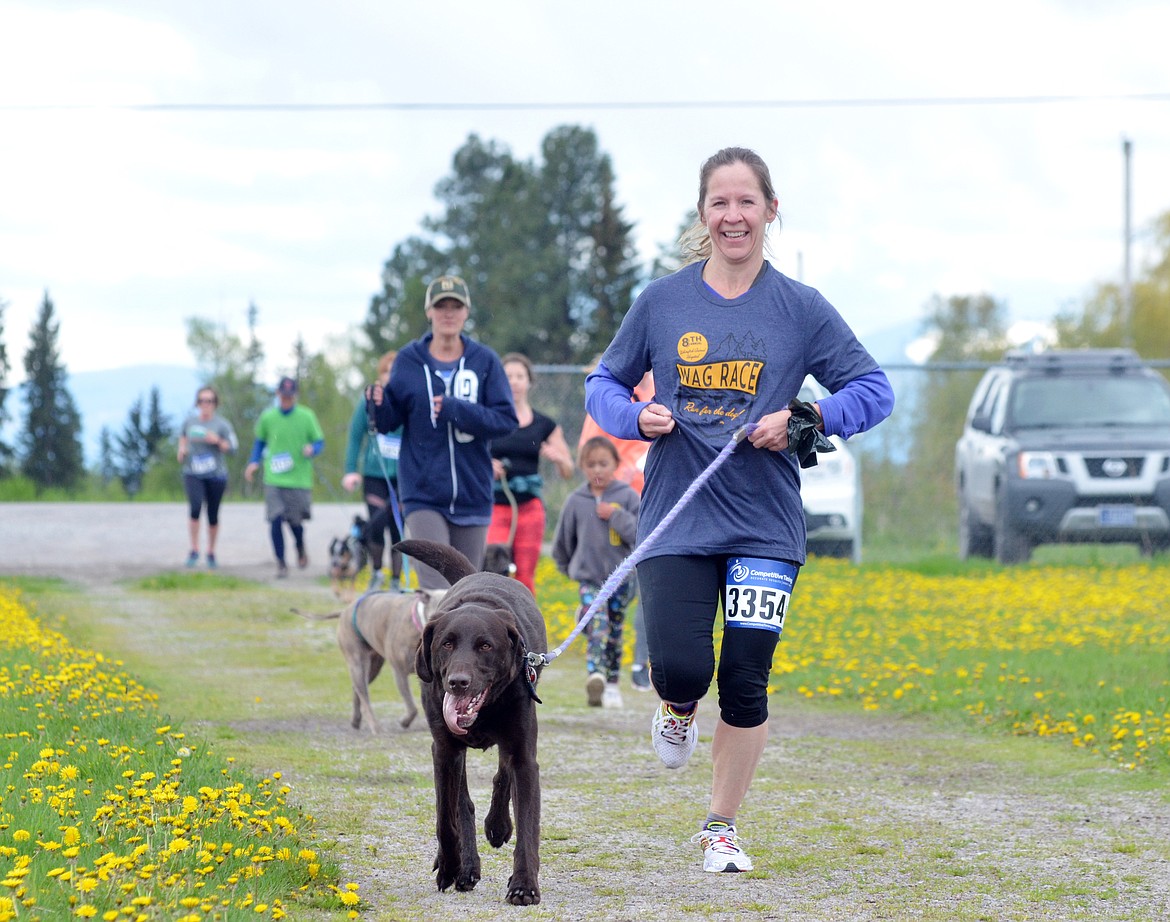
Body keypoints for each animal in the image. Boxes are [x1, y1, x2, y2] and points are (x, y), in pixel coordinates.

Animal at [291, 589, 442, 734]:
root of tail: (345, 611)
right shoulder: (399, 672)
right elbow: (411, 707)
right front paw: (404, 722)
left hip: (374, 667)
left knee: (357, 690)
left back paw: (356, 720)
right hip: (358, 663)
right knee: (364, 696)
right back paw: (376, 727)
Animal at [397, 535, 547, 903]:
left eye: (485, 646)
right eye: (446, 644)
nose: (458, 682)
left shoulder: (524, 755)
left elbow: (527, 823)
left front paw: (524, 884)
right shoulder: (444, 750)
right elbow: (445, 817)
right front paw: (452, 866)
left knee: (502, 777)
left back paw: (497, 826)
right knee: (462, 803)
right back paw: (465, 866)